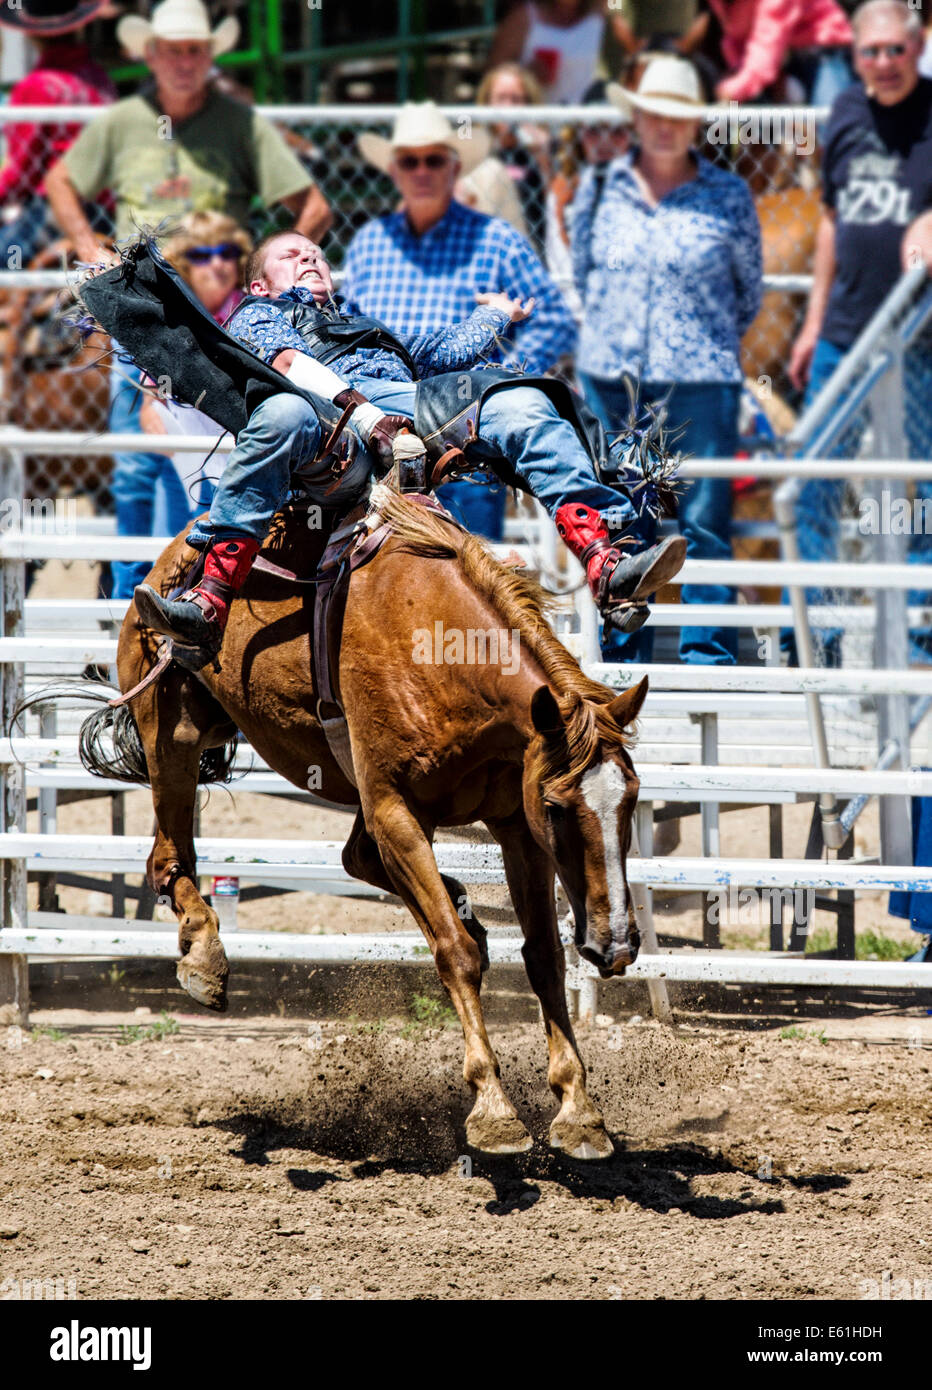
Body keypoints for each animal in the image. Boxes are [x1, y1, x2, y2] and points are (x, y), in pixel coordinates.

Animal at [96, 489, 650, 1162]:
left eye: (631, 800)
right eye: (558, 807)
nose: (616, 944)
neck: (440, 649)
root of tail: (166, 564)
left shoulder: (514, 825)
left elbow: (542, 955)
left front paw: (578, 1109)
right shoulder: (397, 808)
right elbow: (455, 952)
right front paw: (494, 1110)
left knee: (357, 859)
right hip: (171, 732)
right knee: (169, 855)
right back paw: (204, 958)